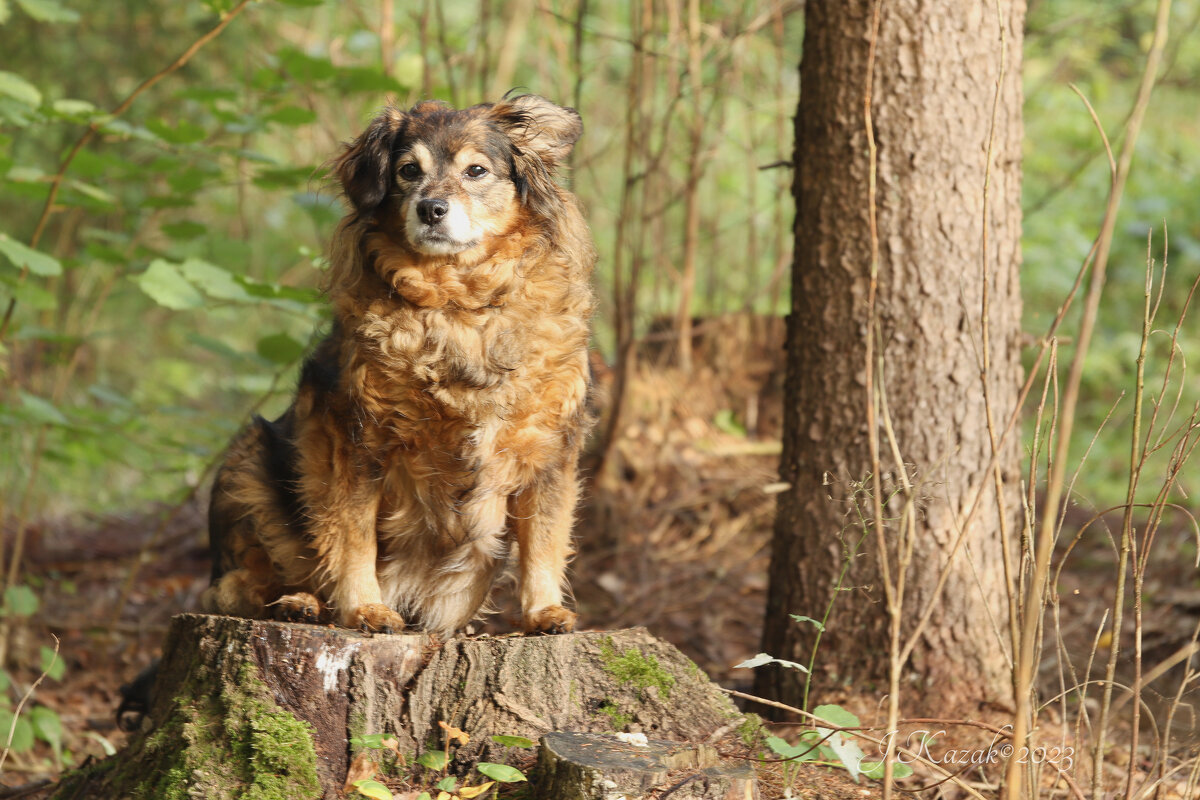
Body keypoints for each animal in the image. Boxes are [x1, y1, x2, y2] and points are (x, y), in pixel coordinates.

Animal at [199, 94, 597, 638]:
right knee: (246, 583)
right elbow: (352, 535)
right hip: (245, 464)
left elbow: (544, 539)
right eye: (409, 171)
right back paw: (299, 603)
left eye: (476, 171)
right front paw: (364, 608)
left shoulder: (551, 447)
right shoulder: (353, 440)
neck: (458, 307)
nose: (431, 208)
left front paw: (543, 612)